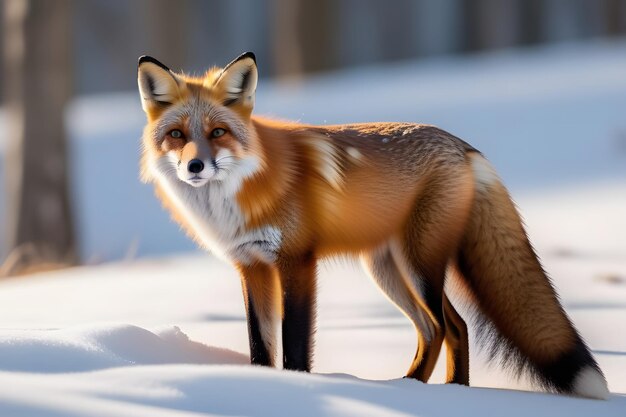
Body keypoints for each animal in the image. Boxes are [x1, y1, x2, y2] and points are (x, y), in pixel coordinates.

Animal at [135, 52, 604, 396]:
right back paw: (414, 389)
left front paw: (295, 392)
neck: (244, 193)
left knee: (453, 326)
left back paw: (449, 395)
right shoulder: (251, 266)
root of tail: (463, 145)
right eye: (177, 135)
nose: (195, 166)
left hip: (419, 265)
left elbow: (295, 347)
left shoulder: (296, 261)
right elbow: (260, 347)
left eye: (218, 132)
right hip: (386, 270)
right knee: (436, 329)